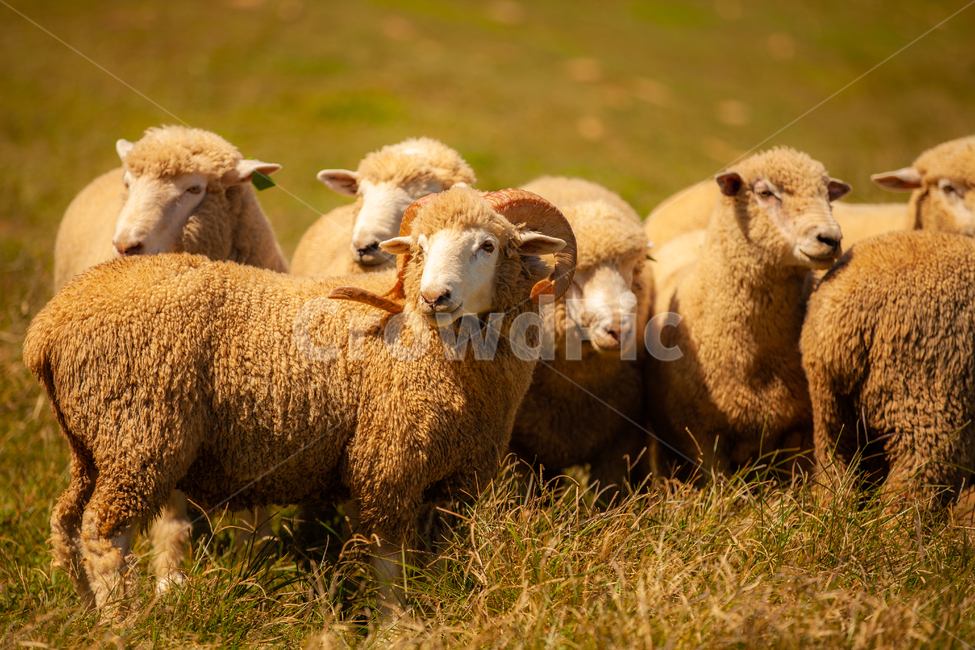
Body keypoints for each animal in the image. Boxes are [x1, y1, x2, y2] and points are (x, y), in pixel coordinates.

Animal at [24, 185, 577, 613]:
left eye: (488, 245)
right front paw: (397, 625)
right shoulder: (388, 461)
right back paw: (122, 620)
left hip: (90, 444)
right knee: (103, 533)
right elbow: (389, 563)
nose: (434, 296)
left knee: (66, 523)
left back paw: (84, 609)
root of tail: (47, 326)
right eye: (420, 246)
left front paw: (442, 603)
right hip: (138, 434)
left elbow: (441, 556)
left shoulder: (460, 476)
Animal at [646, 147, 850, 478]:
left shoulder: (801, 429)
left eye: (827, 196)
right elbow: (717, 483)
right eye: (765, 192)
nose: (830, 239)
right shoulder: (700, 435)